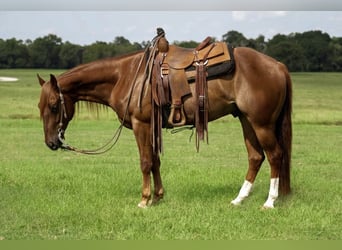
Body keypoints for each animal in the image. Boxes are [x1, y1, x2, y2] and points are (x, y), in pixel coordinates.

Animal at [38, 37, 292, 209]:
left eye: (54, 105)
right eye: (40, 108)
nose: (51, 143)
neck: (126, 76)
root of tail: (278, 65)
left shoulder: (141, 125)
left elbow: (144, 162)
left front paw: (144, 200)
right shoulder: (152, 128)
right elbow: (155, 162)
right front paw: (158, 196)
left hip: (262, 124)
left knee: (275, 155)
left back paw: (269, 201)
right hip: (246, 121)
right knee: (256, 157)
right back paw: (239, 199)